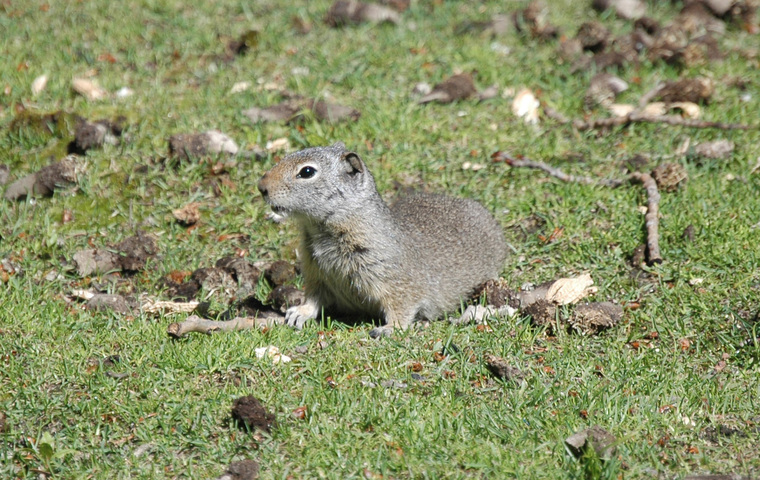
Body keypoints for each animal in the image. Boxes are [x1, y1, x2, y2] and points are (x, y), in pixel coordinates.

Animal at [258, 142, 508, 338]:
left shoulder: (395, 281)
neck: (322, 231)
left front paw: (389, 328)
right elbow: (313, 298)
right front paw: (298, 312)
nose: (262, 187)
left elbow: (402, 306)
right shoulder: (316, 274)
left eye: (307, 171)